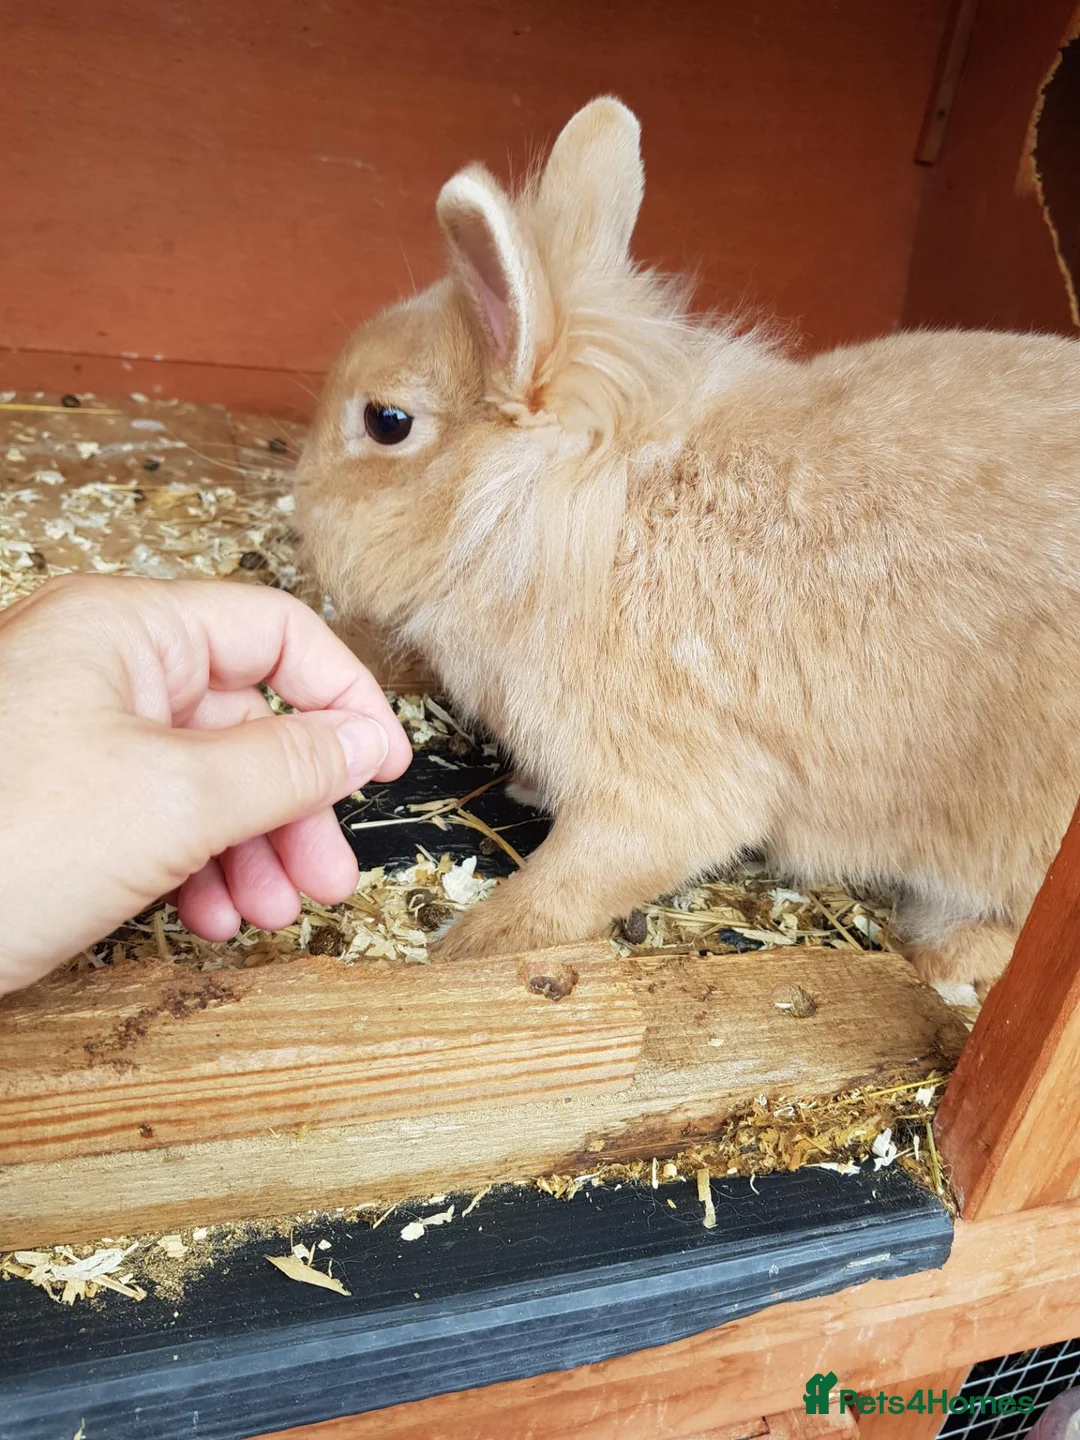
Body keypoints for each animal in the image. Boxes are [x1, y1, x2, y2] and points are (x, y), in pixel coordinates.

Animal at [295, 96, 1080, 993]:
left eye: (386, 422)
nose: (303, 506)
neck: (544, 512)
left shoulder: (660, 787)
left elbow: (573, 884)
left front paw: (465, 949)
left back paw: (949, 956)